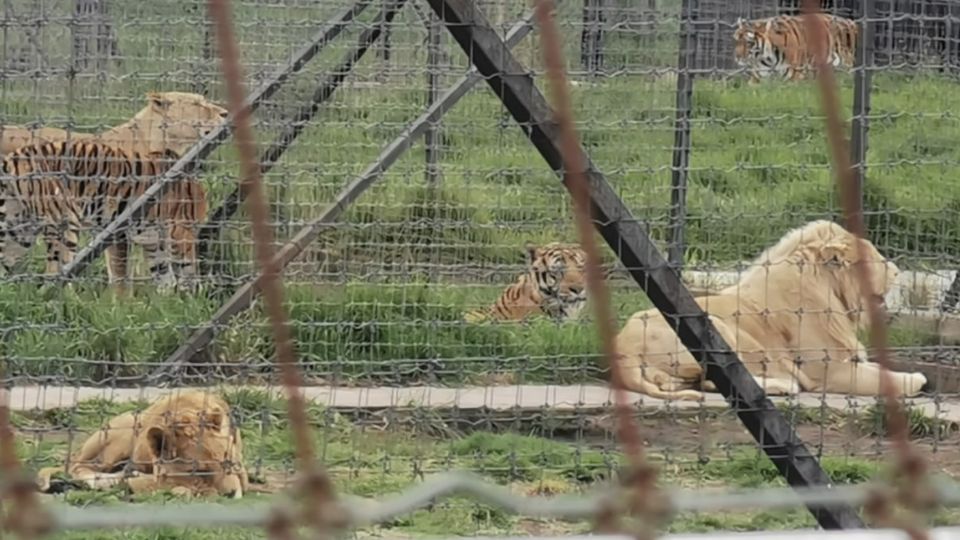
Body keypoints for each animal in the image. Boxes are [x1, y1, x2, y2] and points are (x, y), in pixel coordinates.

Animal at [0, 139, 209, 292]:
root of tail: (11, 161)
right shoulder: (125, 234)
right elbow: (120, 276)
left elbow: (166, 276)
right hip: (61, 223)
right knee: (56, 272)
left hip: (20, 232)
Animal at [616, 219, 928, 400]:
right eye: (876, 256)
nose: (898, 271)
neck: (831, 294)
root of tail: (621, 350)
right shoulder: (829, 371)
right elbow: (885, 378)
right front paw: (915, 381)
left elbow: (877, 368)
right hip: (716, 327)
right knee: (718, 381)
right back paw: (783, 386)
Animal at [732, 12, 860, 83]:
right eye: (736, 41)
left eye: (749, 43)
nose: (737, 57)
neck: (768, 58)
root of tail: (851, 22)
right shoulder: (758, 77)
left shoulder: (793, 77)